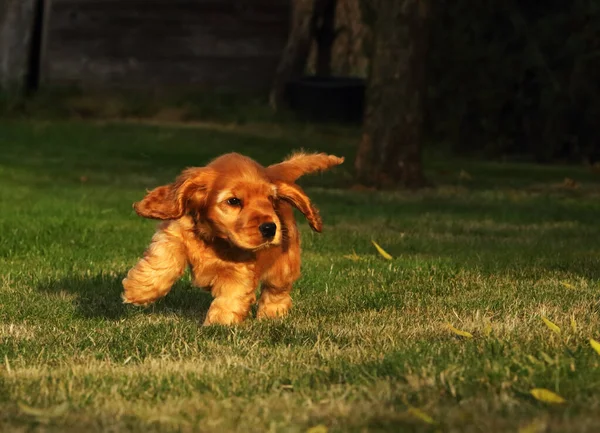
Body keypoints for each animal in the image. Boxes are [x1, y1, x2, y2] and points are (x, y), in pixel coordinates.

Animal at [122, 152, 344, 324]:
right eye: (234, 201)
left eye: (270, 200)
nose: (270, 228)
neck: (216, 238)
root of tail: (273, 171)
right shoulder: (173, 234)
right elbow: (162, 261)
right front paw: (139, 290)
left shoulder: (241, 272)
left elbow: (231, 297)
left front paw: (219, 326)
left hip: (284, 266)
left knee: (277, 290)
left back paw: (272, 314)